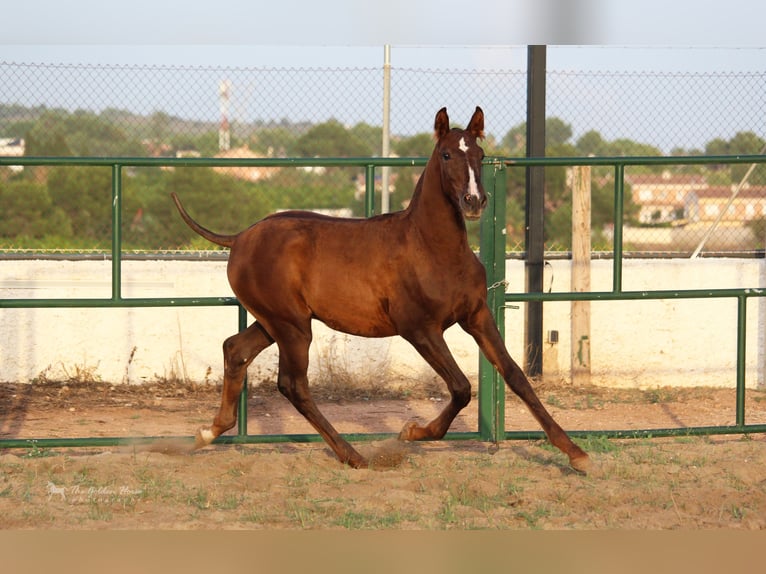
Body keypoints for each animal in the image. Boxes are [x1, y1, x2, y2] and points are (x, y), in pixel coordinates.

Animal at [174, 107, 592, 472]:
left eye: (480, 154)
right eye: (445, 154)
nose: (474, 201)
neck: (433, 248)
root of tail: (241, 238)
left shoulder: (477, 317)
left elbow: (515, 376)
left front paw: (575, 453)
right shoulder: (419, 329)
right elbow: (460, 387)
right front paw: (413, 432)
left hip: (274, 322)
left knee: (236, 350)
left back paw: (208, 433)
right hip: (293, 327)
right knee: (292, 384)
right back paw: (353, 455)